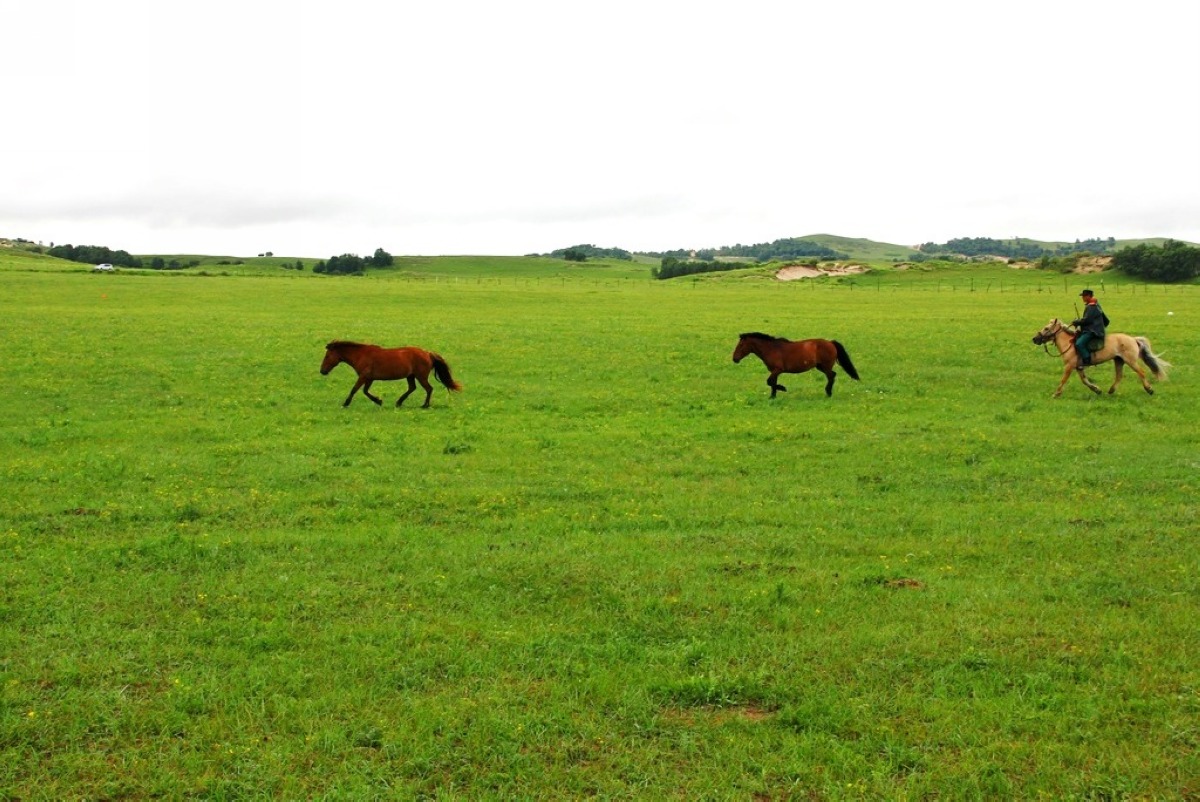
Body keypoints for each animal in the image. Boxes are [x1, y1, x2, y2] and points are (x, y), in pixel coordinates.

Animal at [321, 340, 460, 410]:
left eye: (327, 356)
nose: (322, 371)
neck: (361, 355)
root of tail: (428, 353)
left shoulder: (364, 376)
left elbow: (355, 389)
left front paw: (345, 404)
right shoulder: (369, 378)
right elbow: (365, 391)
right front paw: (378, 401)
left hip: (420, 376)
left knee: (429, 388)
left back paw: (425, 405)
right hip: (410, 376)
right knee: (412, 388)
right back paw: (399, 402)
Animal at [729, 328, 864, 398]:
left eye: (741, 345)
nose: (735, 359)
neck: (771, 349)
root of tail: (830, 343)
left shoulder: (777, 370)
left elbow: (770, 382)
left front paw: (782, 389)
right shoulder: (775, 372)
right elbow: (772, 383)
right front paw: (773, 396)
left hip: (825, 366)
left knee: (831, 376)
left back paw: (828, 393)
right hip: (820, 366)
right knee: (832, 375)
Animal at [1027, 316, 1166, 396]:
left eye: (1046, 328)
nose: (1035, 339)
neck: (1069, 344)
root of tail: (1133, 339)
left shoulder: (1069, 366)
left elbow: (1063, 380)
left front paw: (1056, 394)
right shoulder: (1078, 367)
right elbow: (1085, 381)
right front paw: (1097, 390)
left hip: (1130, 361)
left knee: (1141, 372)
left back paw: (1149, 389)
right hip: (1118, 360)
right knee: (1119, 376)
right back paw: (1111, 391)